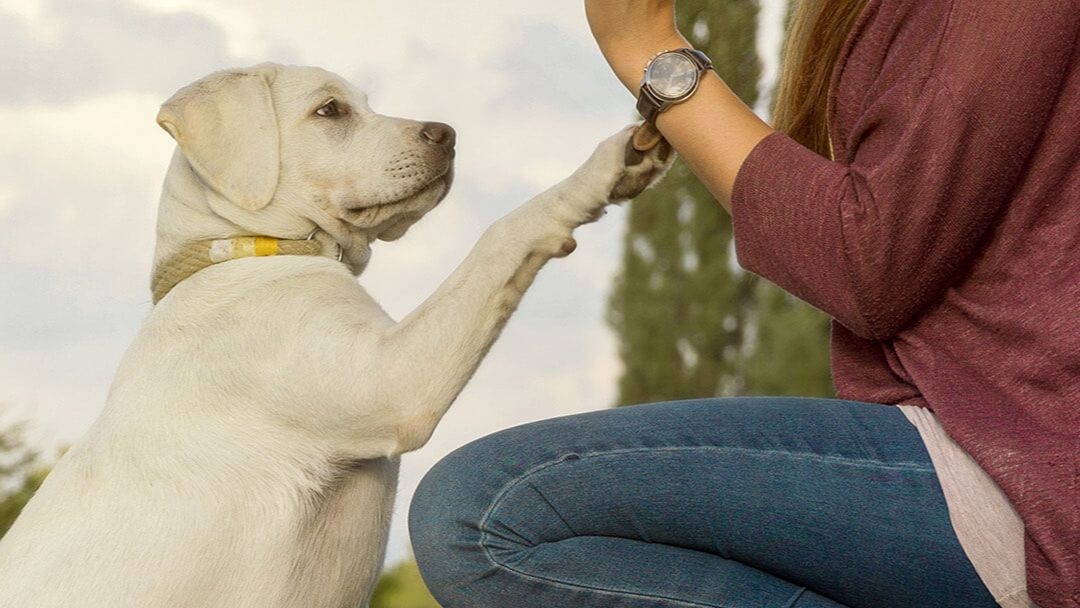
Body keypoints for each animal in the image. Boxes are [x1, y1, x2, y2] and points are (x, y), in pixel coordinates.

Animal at [0, 64, 665, 604]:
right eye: (330, 111)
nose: (448, 134)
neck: (246, 252)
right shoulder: (393, 382)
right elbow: (503, 233)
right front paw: (601, 170)